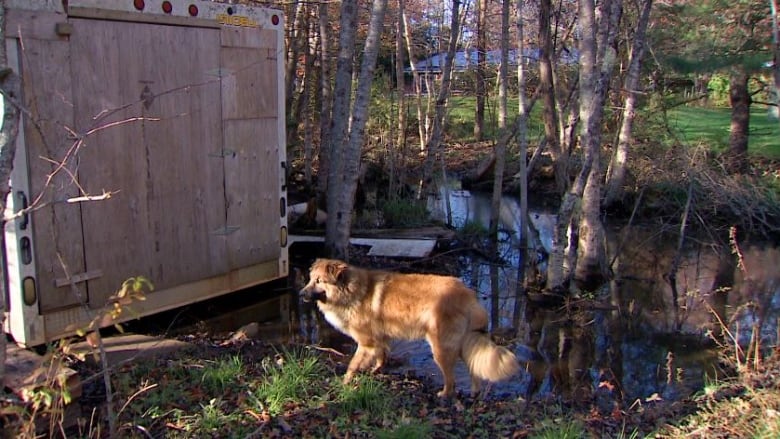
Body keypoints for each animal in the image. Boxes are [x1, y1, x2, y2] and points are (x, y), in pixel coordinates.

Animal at [298, 258, 516, 398]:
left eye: (319, 281)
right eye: (310, 279)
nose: (300, 294)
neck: (352, 291)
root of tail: (469, 294)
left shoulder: (367, 342)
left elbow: (353, 364)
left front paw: (345, 383)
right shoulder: (380, 339)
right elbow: (381, 356)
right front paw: (377, 370)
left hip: (441, 347)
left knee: (451, 379)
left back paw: (444, 394)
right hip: (461, 343)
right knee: (472, 367)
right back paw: (474, 391)